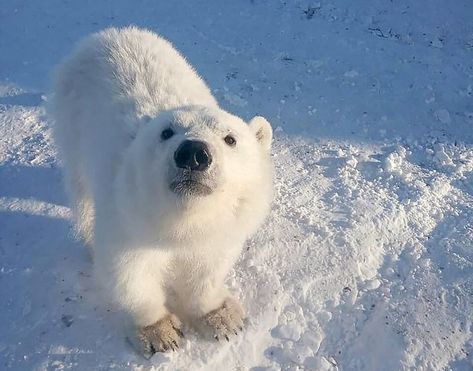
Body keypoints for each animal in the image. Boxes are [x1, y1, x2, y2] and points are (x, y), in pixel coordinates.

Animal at [48, 26, 272, 354]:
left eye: (230, 138)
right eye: (166, 132)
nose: (193, 153)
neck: (179, 222)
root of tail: (107, 34)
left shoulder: (219, 228)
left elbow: (207, 268)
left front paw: (222, 317)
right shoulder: (127, 220)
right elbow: (130, 274)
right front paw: (159, 333)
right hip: (72, 123)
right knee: (81, 190)